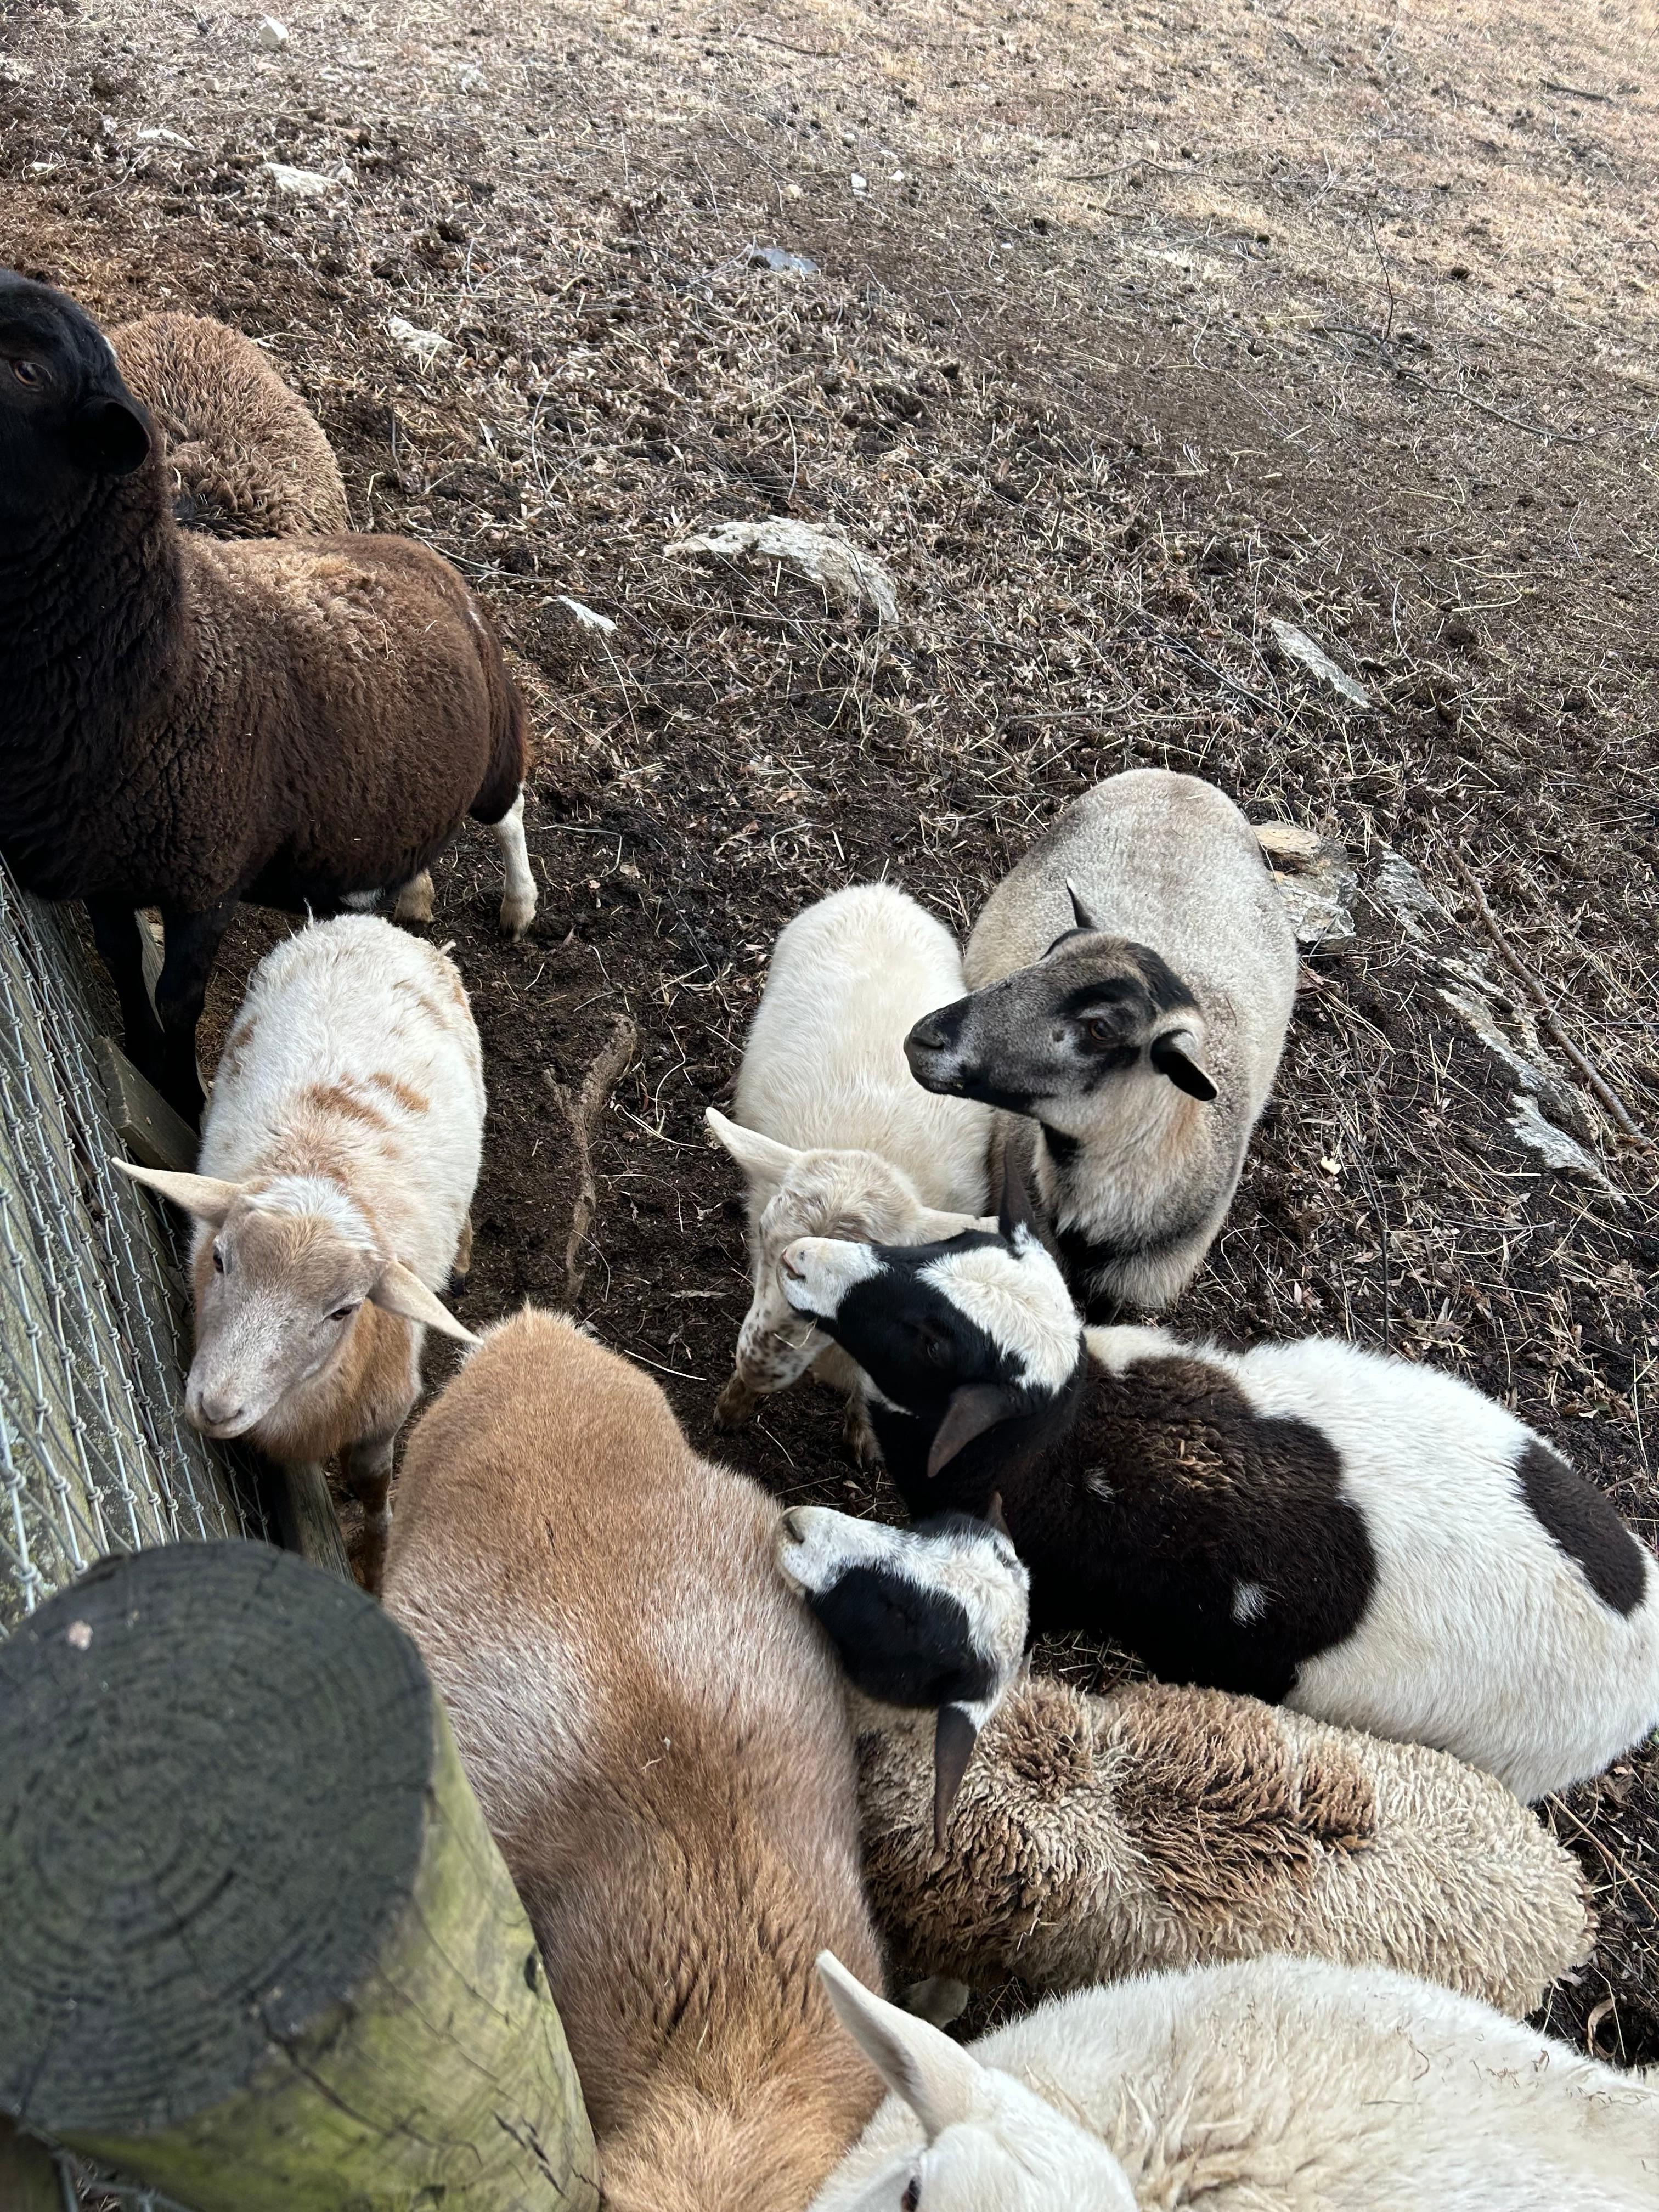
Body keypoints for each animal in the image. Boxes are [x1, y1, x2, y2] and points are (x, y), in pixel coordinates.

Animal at [0, 270, 536, 1121]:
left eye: (27, 371)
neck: (167, 666)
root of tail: (421, 555)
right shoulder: (103, 869)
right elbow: (123, 966)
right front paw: (143, 1054)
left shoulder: (208, 883)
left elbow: (181, 997)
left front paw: (183, 1093)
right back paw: (415, 889)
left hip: (495, 747)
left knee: (510, 809)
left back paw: (521, 905)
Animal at [117, 914, 480, 1585]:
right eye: (219, 1259)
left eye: (345, 1310)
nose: (216, 1406)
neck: (327, 1174)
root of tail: (370, 924)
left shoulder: (385, 1415)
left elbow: (372, 1489)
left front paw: (377, 1559)